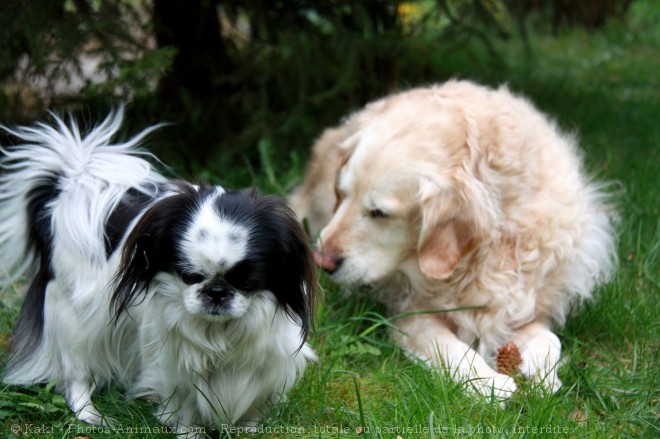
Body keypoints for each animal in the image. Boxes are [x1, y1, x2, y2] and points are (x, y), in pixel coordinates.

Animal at [0, 110, 320, 434]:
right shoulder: (175, 364)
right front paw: (189, 433)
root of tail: (69, 185)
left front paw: (249, 429)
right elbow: (185, 403)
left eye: (247, 281)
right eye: (189, 276)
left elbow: (253, 403)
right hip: (77, 319)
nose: (216, 292)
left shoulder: (264, 363)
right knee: (76, 373)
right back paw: (90, 414)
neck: (217, 333)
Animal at [292, 79, 616, 398]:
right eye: (342, 193)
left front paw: (542, 375)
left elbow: (550, 340)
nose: (322, 261)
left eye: (379, 213)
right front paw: (490, 383)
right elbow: (451, 349)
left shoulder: (523, 308)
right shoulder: (410, 314)